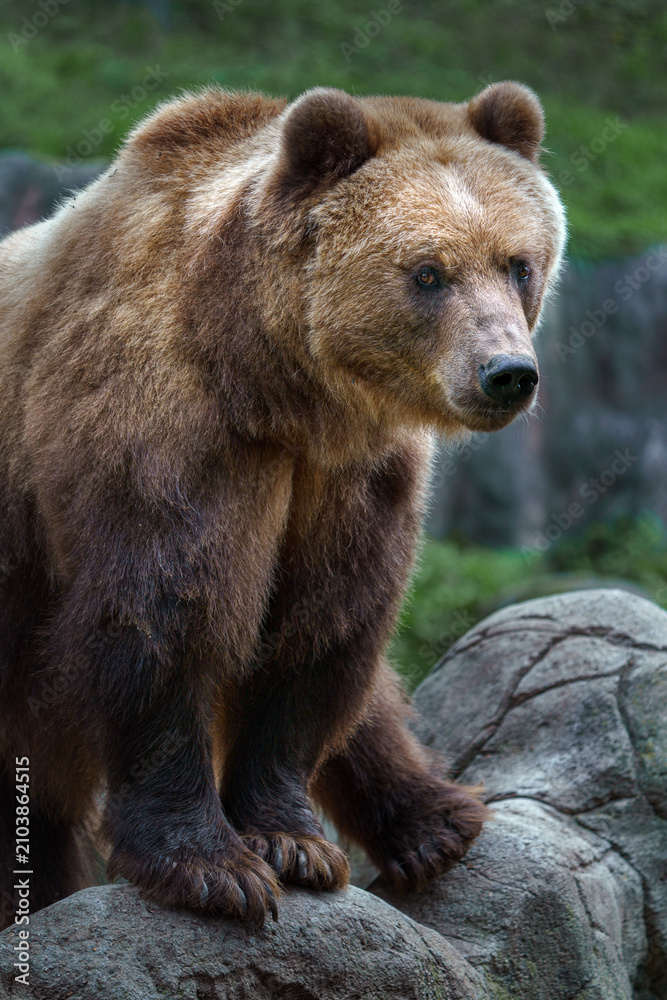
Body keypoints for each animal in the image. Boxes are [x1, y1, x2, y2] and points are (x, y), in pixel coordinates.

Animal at [0, 81, 565, 928]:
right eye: (427, 273)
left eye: (518, 263)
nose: (505, 373)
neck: (279, 390)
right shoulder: (165, 427)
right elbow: (167, 617)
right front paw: (211, 869)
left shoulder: (352, 476)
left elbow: (319, 633)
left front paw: (293, 844)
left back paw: (431, 821)